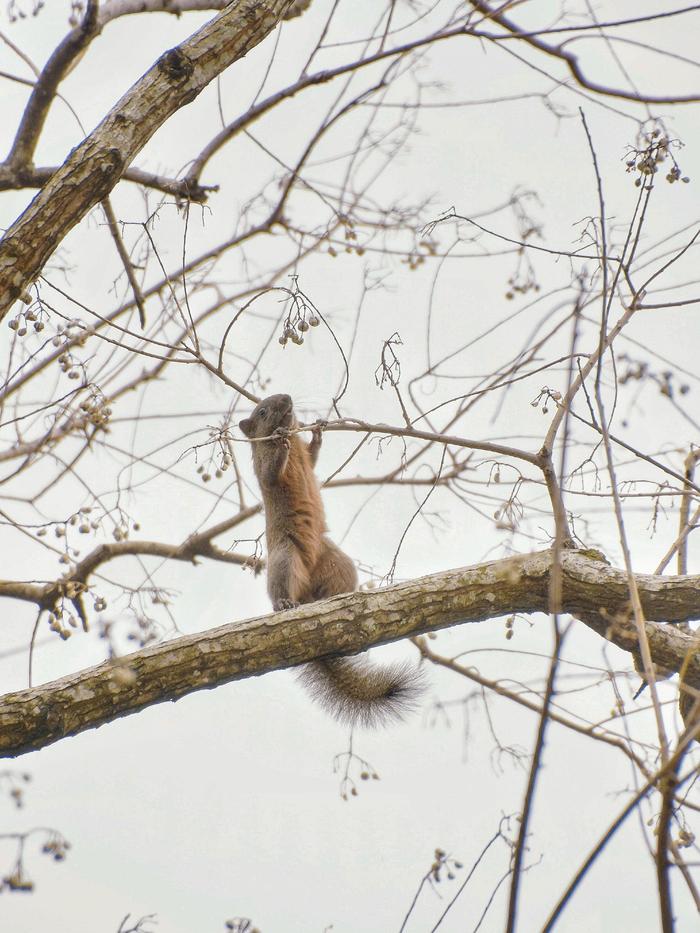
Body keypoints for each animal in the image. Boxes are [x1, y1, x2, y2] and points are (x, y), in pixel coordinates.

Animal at [239, 394, 422, 728]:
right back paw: (284, 604)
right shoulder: (263, 468)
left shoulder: (306, 456)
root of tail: (309, 598)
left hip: (336, 563)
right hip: (286, 557)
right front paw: (281, 442)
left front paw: (317, 431)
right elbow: (271, 472)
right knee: (281, 587)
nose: (287, 398)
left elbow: (311, 459)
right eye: (262, 411)